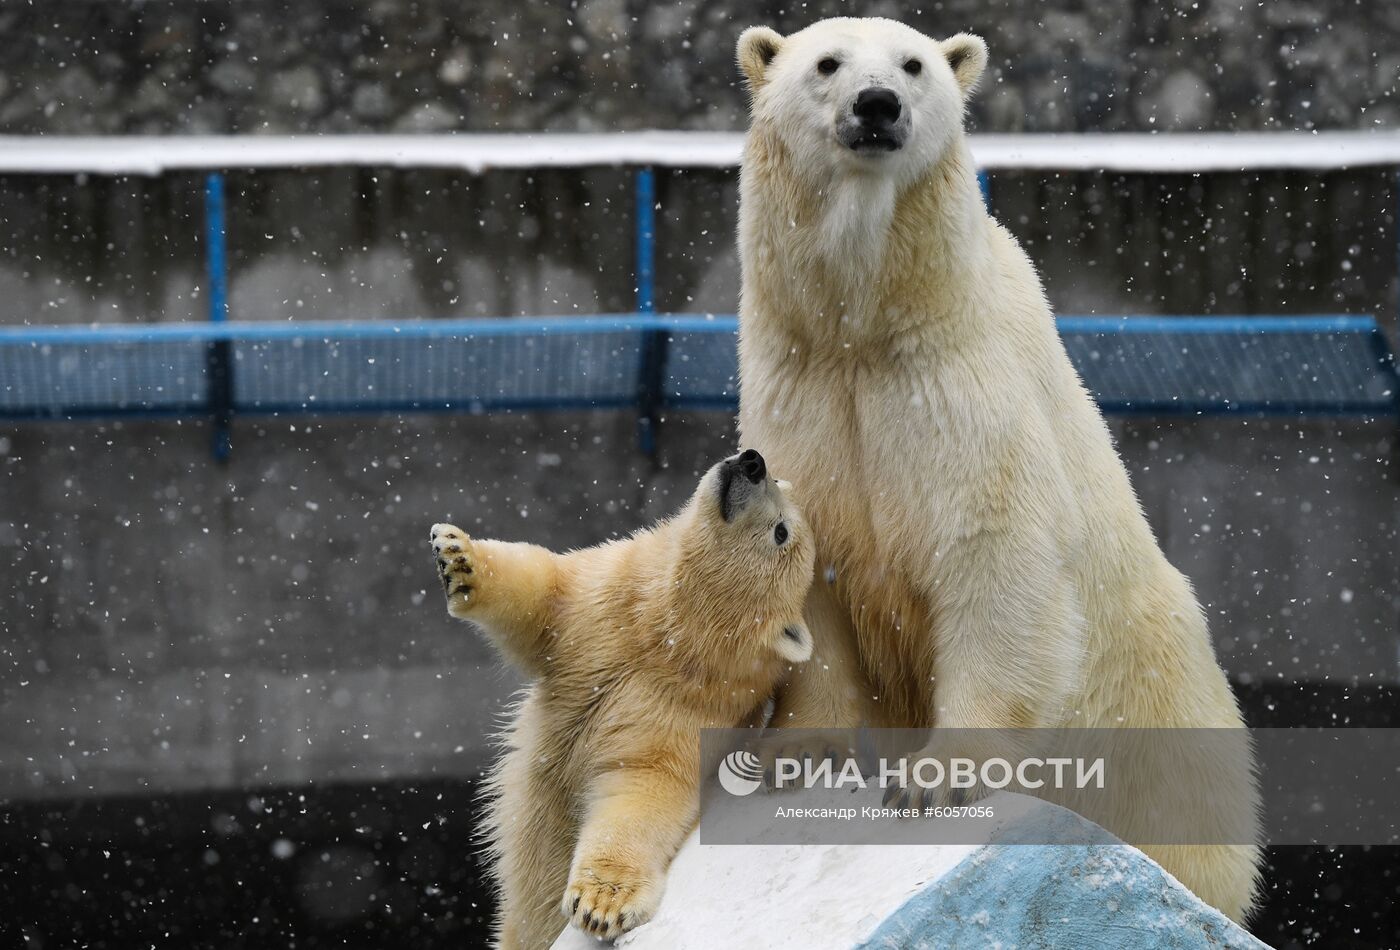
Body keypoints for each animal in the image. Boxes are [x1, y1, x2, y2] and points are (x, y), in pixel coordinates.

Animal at [739, 13, 1265, 923]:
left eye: (914, 64)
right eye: (826, 63)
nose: (877, 104)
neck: (865, 328)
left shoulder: (957, 388)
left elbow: (995, 557)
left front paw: (934, 780)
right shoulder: (800, 395)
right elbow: (809, 572)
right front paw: (794, 758)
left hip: (1158, 736)